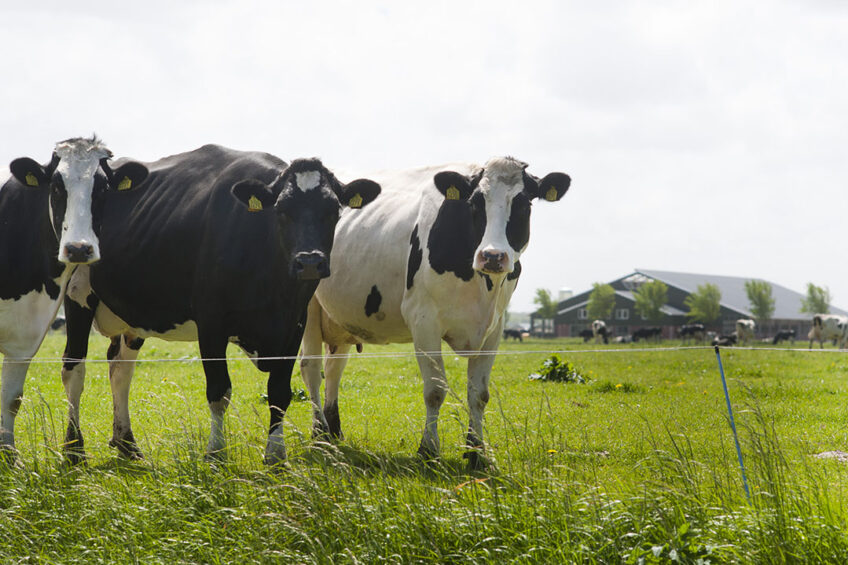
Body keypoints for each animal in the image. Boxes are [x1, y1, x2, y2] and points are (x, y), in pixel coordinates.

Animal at [0, 137, 147, 458]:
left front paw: (8, 455)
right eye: (56, 186)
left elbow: (11, 398)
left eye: (103, 188)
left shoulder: (24, 337)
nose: (79, 249)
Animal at [58, 144, 380, 462]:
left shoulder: (294, 323)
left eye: (333, 211)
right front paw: (215, 452)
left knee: (121, 369)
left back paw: (127, 443)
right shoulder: (211, 322)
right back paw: (74, 448)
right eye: (282, 211)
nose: (310, 262)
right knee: (74, 369)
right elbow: (218, 391)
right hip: (77, 296)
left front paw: (276, 455)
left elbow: (279, 391)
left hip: (133, 315)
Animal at [298, 154, 568, 468]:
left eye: (525, 204)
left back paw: (333, 432)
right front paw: (428, 450)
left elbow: (479, 394)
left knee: (334, 368)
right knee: (311, 368)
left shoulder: (495, 326)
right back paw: (319, 435)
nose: (492, 256)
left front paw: (476, 452)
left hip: (340, 316)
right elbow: (435, 391)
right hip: (308, 308)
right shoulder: (423, 319)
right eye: (475, 203)